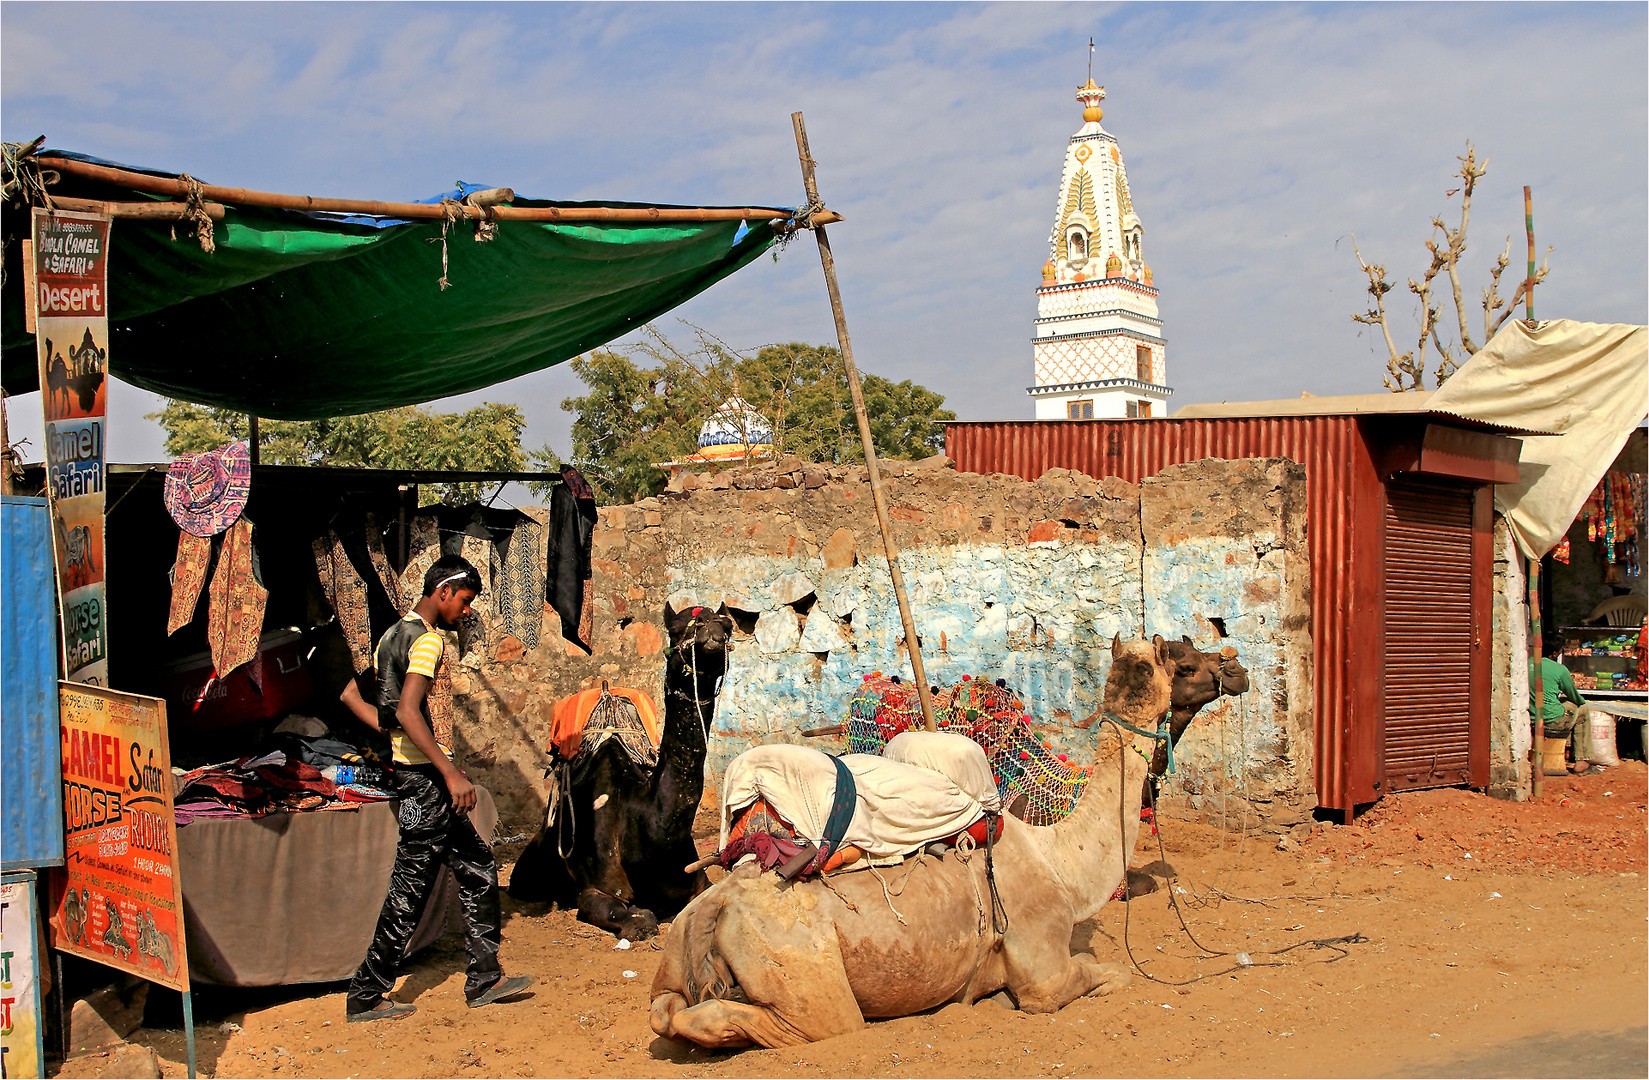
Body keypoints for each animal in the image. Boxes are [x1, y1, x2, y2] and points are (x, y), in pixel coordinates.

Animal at [646, 636, 1174, 1055]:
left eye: (1150, 665)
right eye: (1169, 662)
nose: (1179, 647)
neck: (1061, 862)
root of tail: (712, 909)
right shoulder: (1042, 970)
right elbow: (1110, 973)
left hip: (677, 947)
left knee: (664, 1010)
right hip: (806, 981)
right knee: (796, 1022)